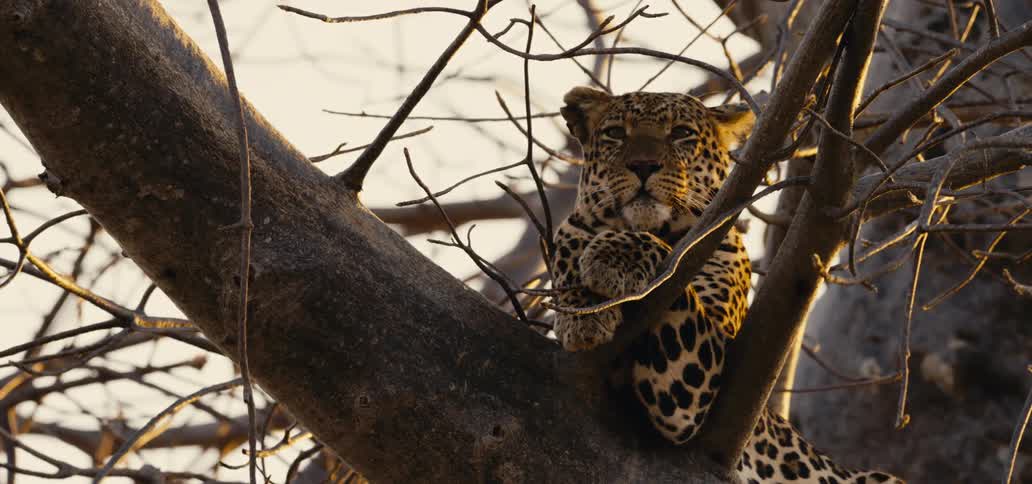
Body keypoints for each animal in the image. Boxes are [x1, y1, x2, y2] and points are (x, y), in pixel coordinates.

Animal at [549, 86, 904, 484]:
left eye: (681, 133)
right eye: (615, 134)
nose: (642, 166)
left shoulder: (697, 381)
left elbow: (675, 272)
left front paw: (614, 256)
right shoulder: (575, 227)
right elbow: (571, 233)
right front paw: (582, 313)